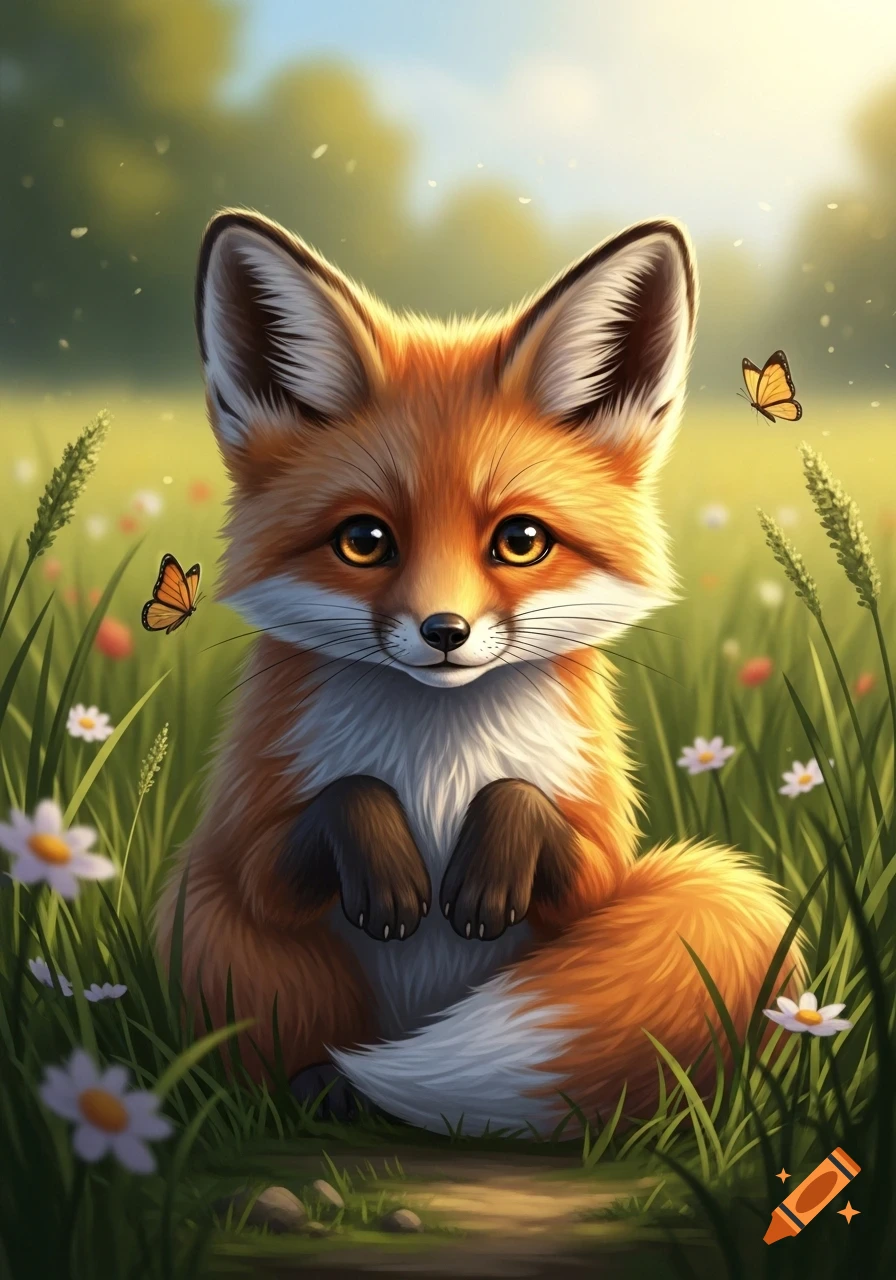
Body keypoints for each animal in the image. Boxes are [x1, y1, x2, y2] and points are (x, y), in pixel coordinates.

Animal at [155, 208, 800, 1135]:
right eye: (364, 541)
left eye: (521, 540)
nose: (445, 632)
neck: (438, 753)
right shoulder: (252, 827)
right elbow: (319, 819)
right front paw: (388, 867)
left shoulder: (595, 856)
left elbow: (540, 816)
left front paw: (491, 863)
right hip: (206, 914)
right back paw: (331, 1087)